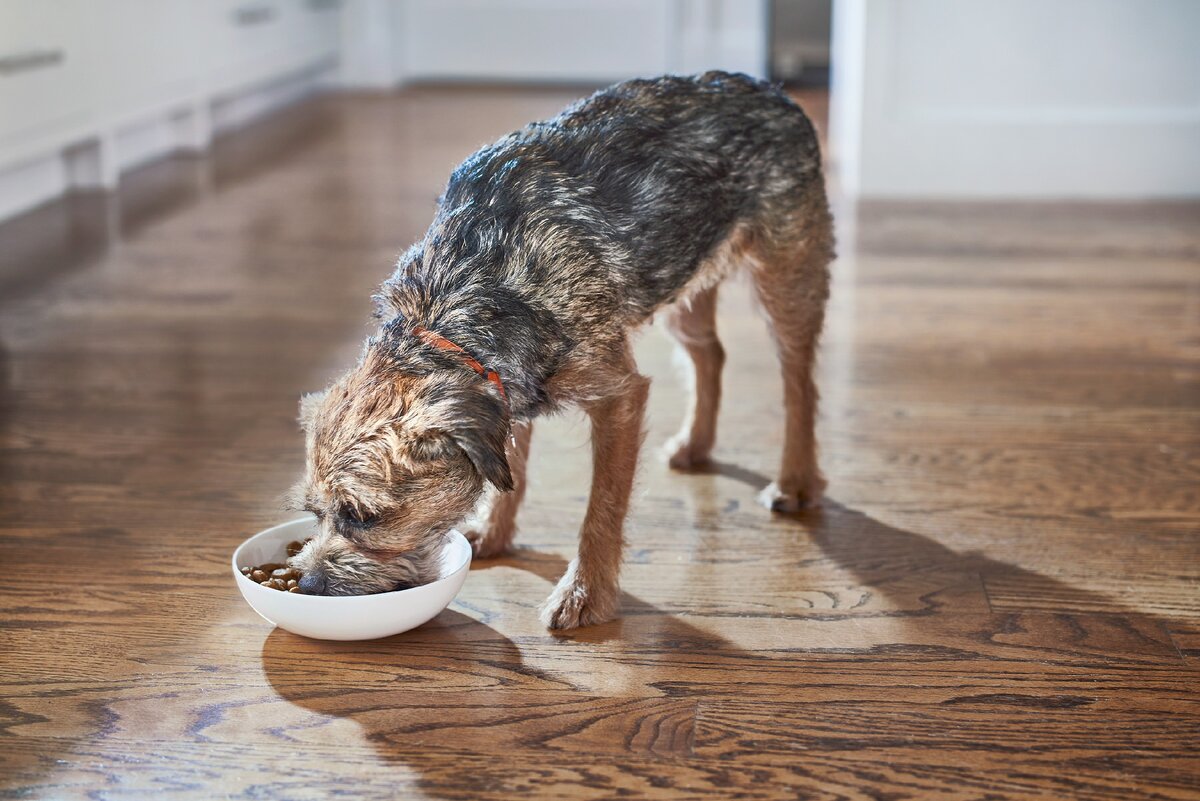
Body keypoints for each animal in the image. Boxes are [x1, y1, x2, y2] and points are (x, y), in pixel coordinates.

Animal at [290, 71, 835, 628]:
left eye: (362, 515)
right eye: (314, 512)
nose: (307, 584)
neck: (459, 298)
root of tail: (767, 86)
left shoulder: (617, 396)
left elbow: (602, 507)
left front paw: (585, 594)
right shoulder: (508, 391)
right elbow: (513, 472)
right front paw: (494, 533)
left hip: (787, 274)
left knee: (799, 379)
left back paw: (795, 480)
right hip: (683, 274)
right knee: (710, 353)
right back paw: (696, 443)